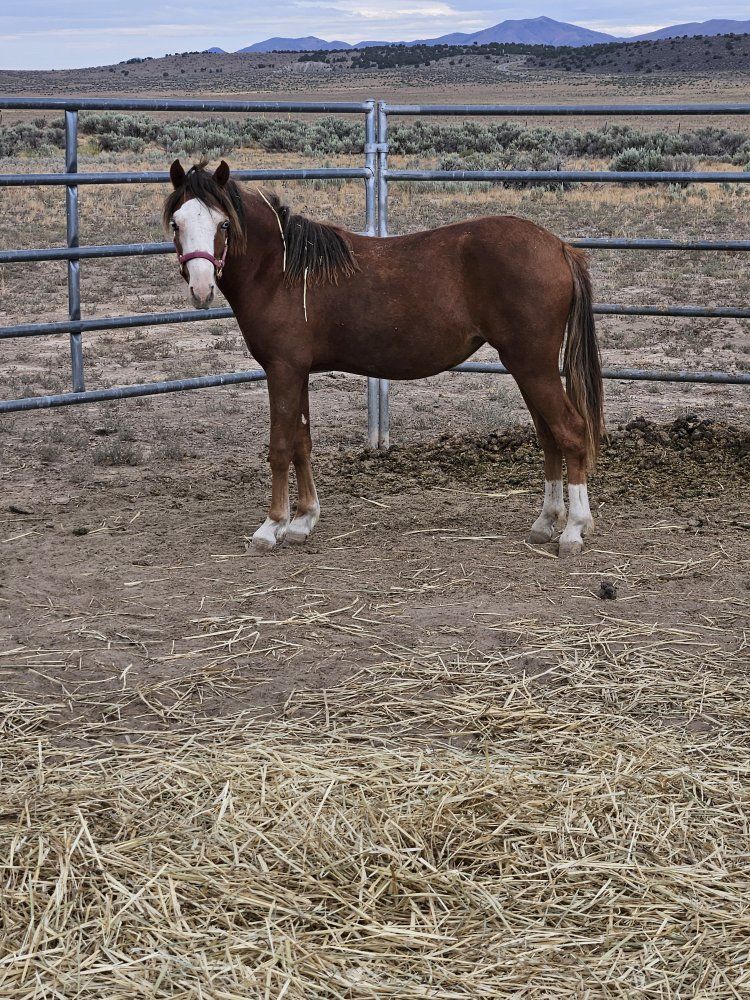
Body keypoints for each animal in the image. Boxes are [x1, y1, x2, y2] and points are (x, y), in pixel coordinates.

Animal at [163, 159, 603, 557]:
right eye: (177, 224)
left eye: (223, 224)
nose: (201, 289)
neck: (282, 271)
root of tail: (559, 247)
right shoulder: (298, 371)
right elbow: (303, 443)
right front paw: (303, 521)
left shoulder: (282, 370)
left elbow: (280, 447)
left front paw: (272, 527)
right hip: (526, 367)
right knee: (548, 437)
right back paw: (545, 523)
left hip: (533, 366)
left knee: (570, 431)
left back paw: (573, 530)